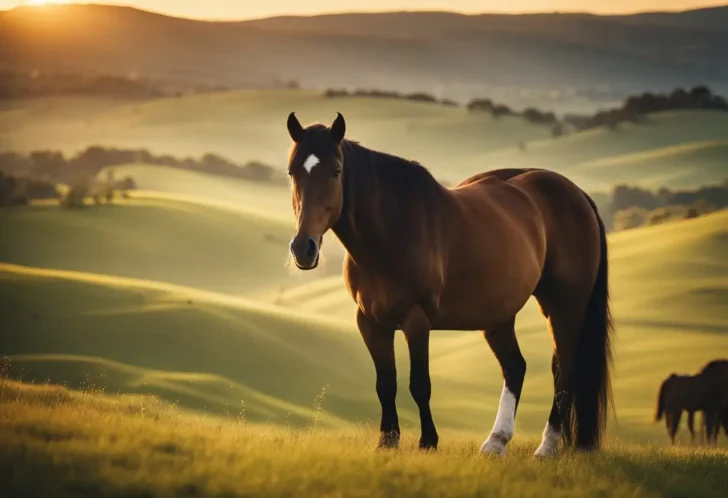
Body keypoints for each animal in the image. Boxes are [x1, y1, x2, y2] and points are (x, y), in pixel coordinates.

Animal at [284, 112, 616, 456]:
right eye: (292, 171)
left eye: (336, 171)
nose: (303, 248)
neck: (393, 230)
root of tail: (577, 194)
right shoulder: (371, 322)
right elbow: (385, 383)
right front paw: (387, 441)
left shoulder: (416, 321)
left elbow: (419, 384)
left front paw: (428, 441)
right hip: (498, 316)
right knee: (516, 367)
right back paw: (496, 442)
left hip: (564, 307)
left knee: (563, 369)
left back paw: (547, 446)